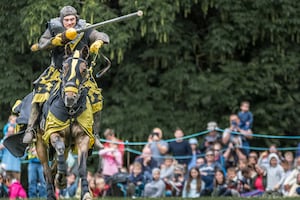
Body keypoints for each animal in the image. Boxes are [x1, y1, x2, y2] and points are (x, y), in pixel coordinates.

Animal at [34, 45, 95, 200]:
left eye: (84, 69)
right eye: (64, 67)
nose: (70, 98)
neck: (70, 111)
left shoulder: (83, 138)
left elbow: (82, 167)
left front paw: (86, 193)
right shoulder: (53, 133)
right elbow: (59, 150)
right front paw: (61, 180)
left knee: (52, 169)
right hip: (40, 144)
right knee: (46, 171)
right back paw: (51, 192)